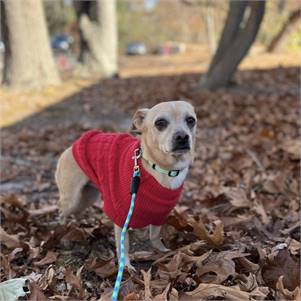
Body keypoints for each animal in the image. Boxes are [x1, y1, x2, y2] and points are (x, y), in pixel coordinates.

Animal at [54, 100, 196, 270]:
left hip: (87, 197)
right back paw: (63, 229)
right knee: (61, 210)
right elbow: (123, 245)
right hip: (73, 199)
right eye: (160, 123)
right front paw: (126, 266)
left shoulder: (160, 214)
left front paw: (161, 250)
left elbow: (154, 235)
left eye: (191, 120)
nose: (182, 136)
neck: (159, 168)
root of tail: (71, 146)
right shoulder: (122, 216)